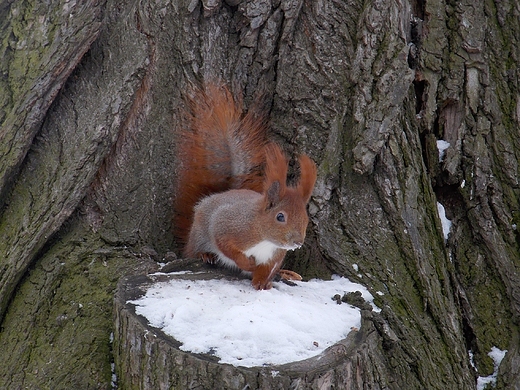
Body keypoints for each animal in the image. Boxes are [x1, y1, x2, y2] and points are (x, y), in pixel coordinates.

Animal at [174, 83, 316, 290]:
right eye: (280, 216)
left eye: (305, 218)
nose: (297, 242)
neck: (265, 238)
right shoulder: (228, 225)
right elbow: (226, 245)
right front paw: (247, 263)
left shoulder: (274, 256)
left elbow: (266, 269)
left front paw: (262, 283)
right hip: (199, 234)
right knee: (192, 250)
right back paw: (205, 254)